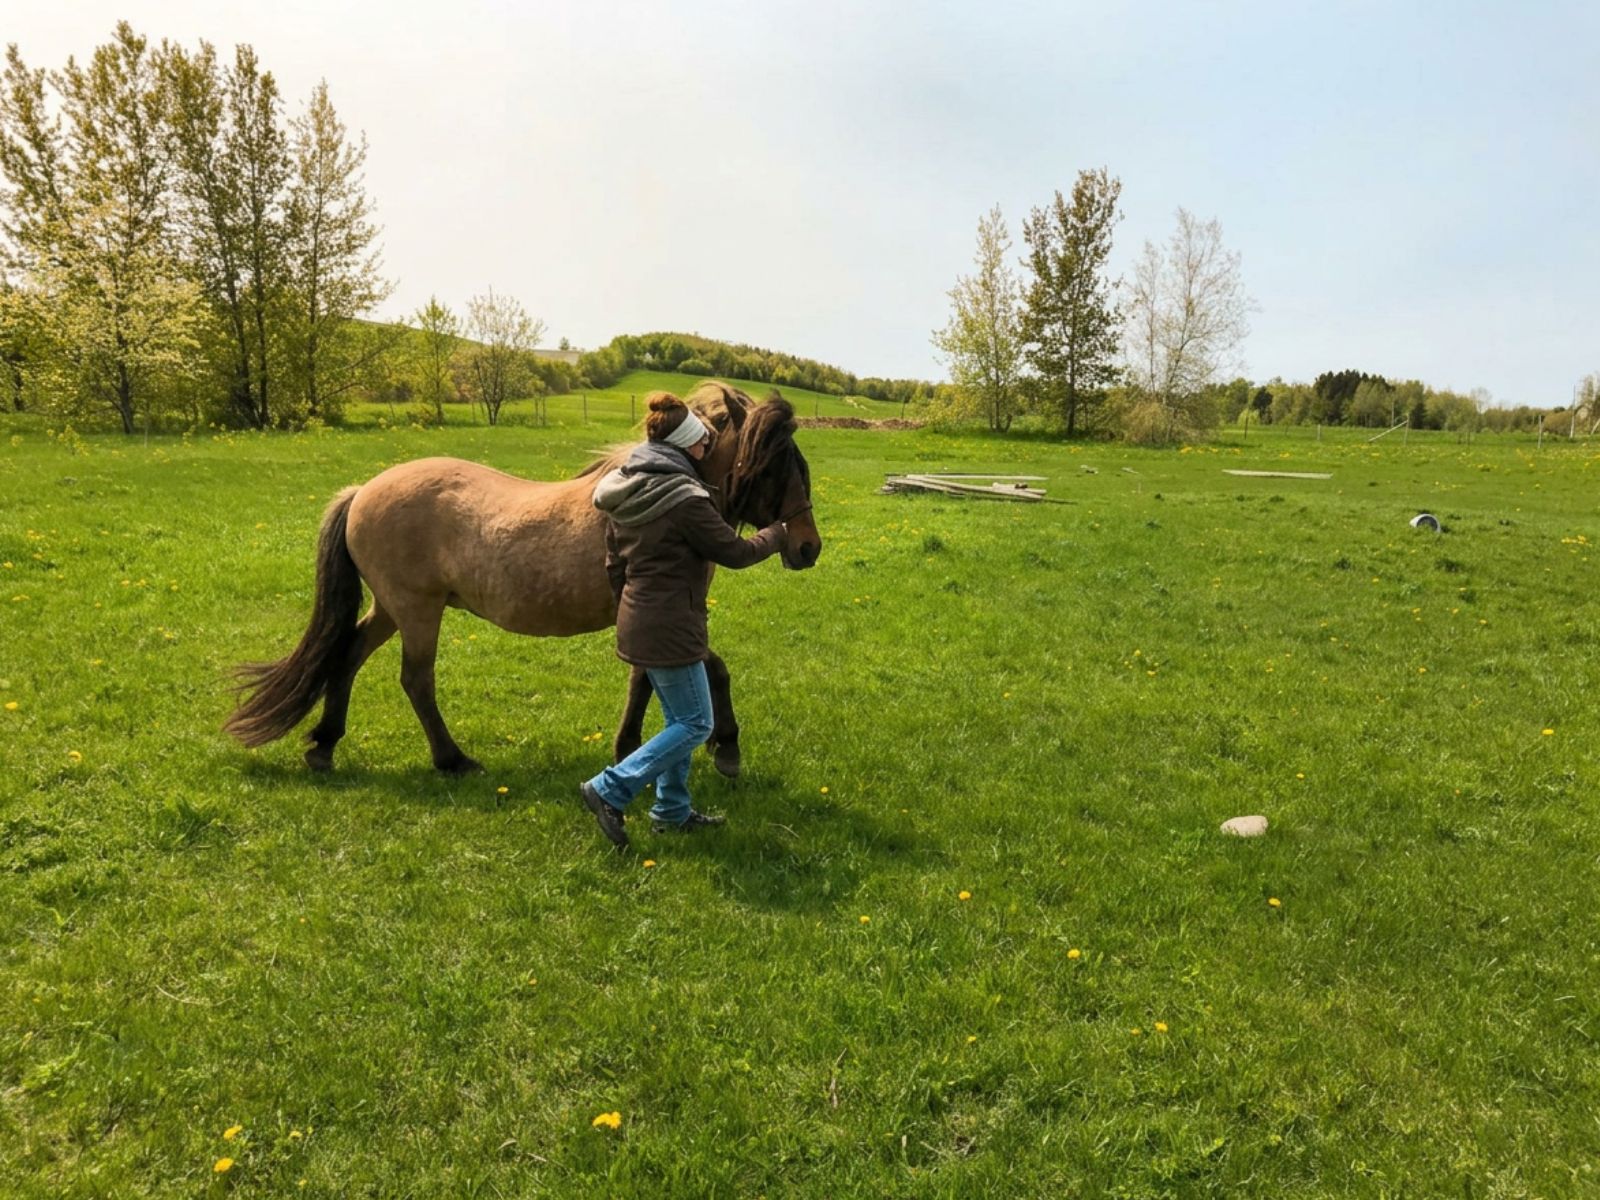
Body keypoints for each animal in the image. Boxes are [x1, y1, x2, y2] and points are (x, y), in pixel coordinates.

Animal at [223, 381, 821, 776]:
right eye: (772, 464)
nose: (807, 546)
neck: (650, 491)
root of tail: (362, 490)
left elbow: (644, 680)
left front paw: (629, 747)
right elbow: (711, 669)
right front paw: (727, 748)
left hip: (391, 607)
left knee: (346, 657)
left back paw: (325, 746)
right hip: (417, 610)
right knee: (415, 680)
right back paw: (452, 760)